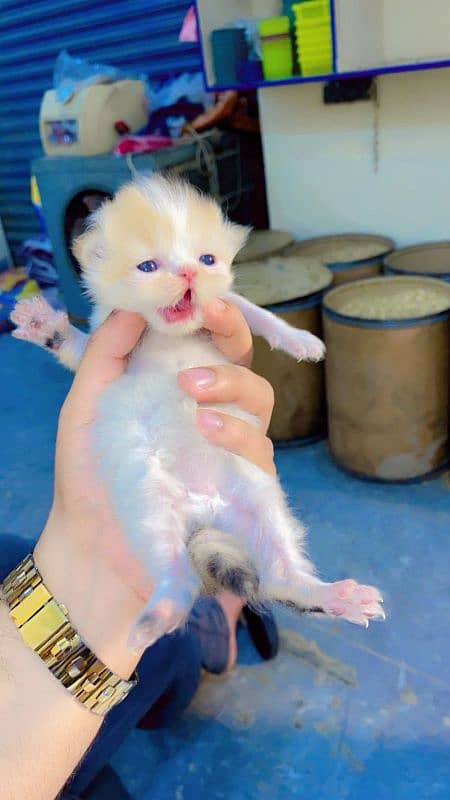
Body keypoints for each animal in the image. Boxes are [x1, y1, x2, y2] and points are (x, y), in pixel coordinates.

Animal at [10, 175, 384, 648]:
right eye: (148, 266)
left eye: (207, 259)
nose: (189, 272)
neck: (167, 334)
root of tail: (204, 510)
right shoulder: (100, 345)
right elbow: (76, 347)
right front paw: (45, 326)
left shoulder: (225, 307)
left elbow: (249, 309)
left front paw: (300, 339)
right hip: (148, 502)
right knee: (176, 573)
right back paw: (162, 613)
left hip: (258, 497)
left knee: (279, 575)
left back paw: (333, 596)